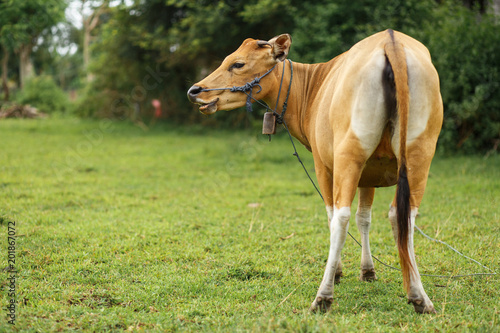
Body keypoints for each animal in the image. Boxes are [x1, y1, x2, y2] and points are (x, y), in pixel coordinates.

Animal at [188, 29, 442, 312]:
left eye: (238, 63)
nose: (195, 90)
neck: (312, 90)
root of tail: (392, 42)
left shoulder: (323, 165)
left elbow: (333, 216)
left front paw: (338, 272)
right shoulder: (370, 173)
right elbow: (364, 218)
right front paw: (368, 271)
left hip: (348, 155)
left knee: (341, 218)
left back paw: (323, 296)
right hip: (420, 156)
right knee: (403, 216)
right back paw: (418, 295)